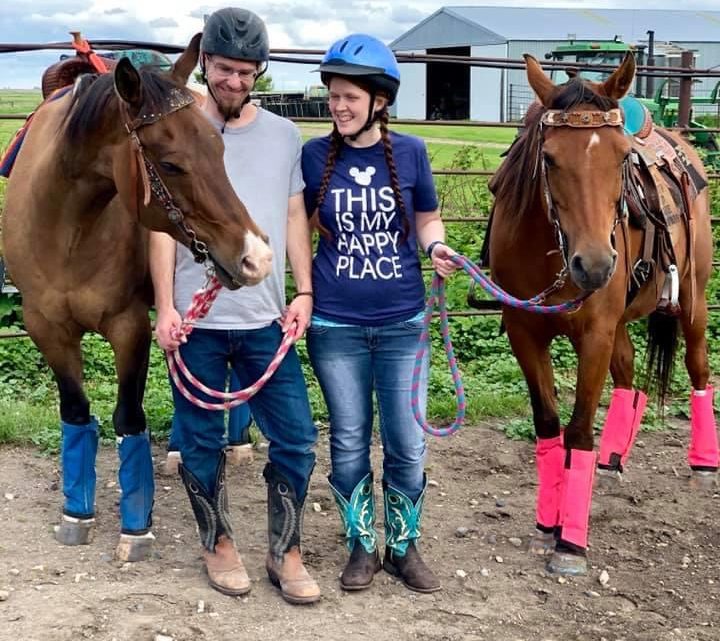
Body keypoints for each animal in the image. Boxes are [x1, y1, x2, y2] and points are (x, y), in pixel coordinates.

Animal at [1, 33, 272, 560]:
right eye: (170, 163)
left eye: (218, 148)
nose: (255, 255)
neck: (67, 227)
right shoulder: (46, 327)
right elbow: (76, 413)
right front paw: (76, 512)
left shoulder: (127, 326)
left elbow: (129, 417)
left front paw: (135, 526)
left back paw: (235, 440)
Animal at [486, 53, 716, 576]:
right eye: (549, 158)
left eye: (622, 158)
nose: (593, 265)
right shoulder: (524, 332)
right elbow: (549, 425)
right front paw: (547, 520)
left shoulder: (593, 332)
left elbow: (578, 430)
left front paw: (569, 541)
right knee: (629, 374)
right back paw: (613, 457)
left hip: (692, 300)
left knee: (697, 367)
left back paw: (703, 464)